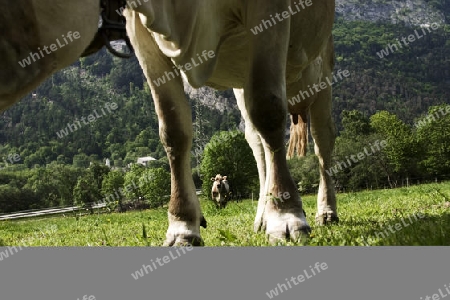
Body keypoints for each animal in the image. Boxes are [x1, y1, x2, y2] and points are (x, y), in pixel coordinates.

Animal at [0, 0, 338, 246]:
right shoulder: (140, 29)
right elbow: (173, 129)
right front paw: (182, 227)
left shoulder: (270, 12)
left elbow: (269, 110)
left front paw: (287, 217)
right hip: (241, 84)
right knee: (258, 145)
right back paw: (262, 217)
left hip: (322, 68)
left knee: (322, 144)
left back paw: (325, 212)